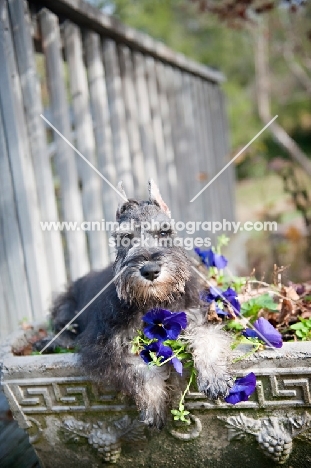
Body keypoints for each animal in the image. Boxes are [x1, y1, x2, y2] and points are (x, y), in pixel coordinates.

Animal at [39, 179, 233, 428]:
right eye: (125, 237)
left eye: (164, 231)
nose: (150, 270)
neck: (153, 300)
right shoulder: (106, 345)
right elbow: (138, 366)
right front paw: (153, 405)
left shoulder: (197, 317)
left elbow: (207, 337)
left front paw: (215, 377)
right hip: (65, 307)